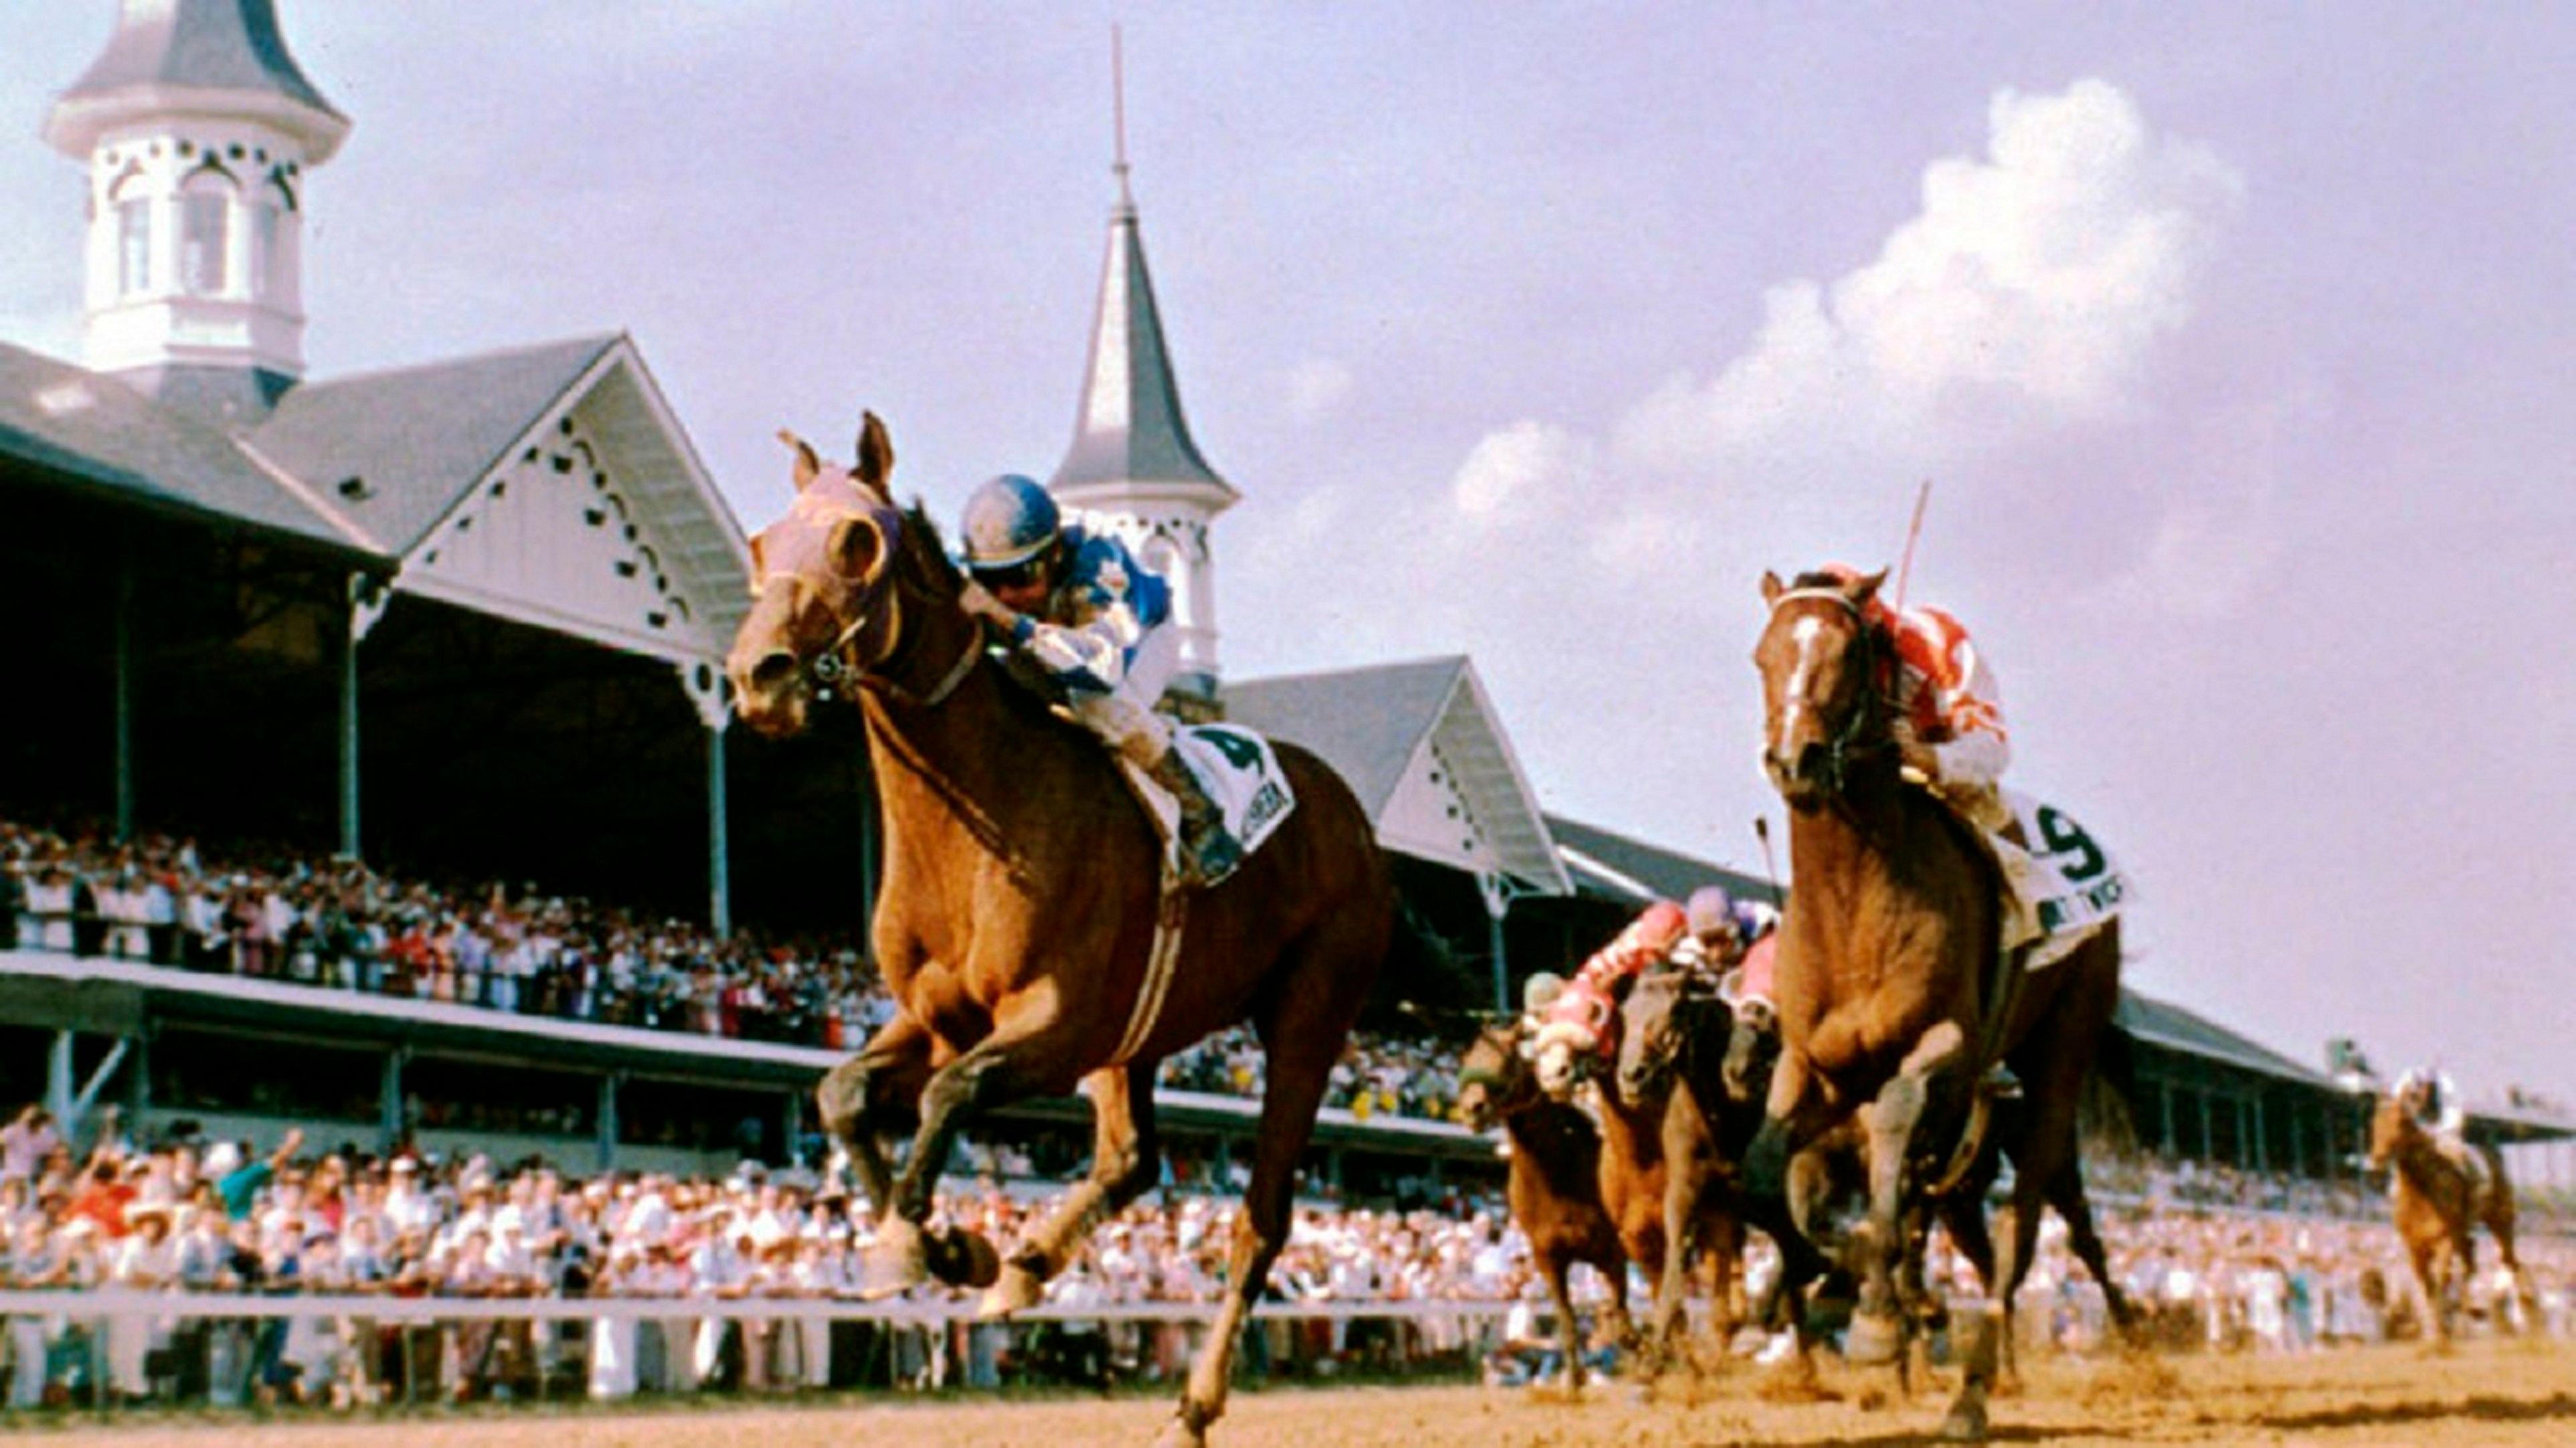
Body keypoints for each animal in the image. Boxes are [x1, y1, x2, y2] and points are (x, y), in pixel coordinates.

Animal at [726, 412, 1411, 1432]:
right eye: (766, 544)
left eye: (857, 542)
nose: (757, 676)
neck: (976, 818)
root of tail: (1354, 823)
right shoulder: (940, 1016)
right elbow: (843, 1093)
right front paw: (949, 1246)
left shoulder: (1057, 1022)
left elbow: (948, 1095)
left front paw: (916, 1244)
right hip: (1143, 1033)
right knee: (1131, 1158)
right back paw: (1027, 1266)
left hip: (1310, 1011)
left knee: (1261, 1215)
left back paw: (1194, 1405)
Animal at [1463, 1015, 1638, 1391]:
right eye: (1469, 1057)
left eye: (1507, 1058)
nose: (1472, 1108)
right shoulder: (1549, 1258)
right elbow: (1568, 1323)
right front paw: (1573, 1382)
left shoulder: (1611, 1254)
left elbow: (1621, 1318)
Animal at [1752, 564, 2132, 1432]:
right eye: (1764, 654)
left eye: (1847, 653)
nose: (1795, 762)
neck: (1854, 905)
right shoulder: (1811, 1071)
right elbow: (1769, 1178)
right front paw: (1833, 1283)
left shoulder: (1944, 1049)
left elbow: (1894, 1128)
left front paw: (1872, 1323)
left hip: (2060, 1059)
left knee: (2023, 1231)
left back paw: (1982, 1388)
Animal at [2359, 1077, 2545, 1340]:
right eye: (2375, 1123)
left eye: (2402, 1122)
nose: (2375, 1168)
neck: (2423, 1194)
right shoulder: (2415, 1248)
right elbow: (2430, 1287)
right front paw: (2444, 1326)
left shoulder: (2445, 1240)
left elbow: (2441, 1282)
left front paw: (2444, 1328)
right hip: (2467, 1236)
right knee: (2471, 1265)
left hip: (2501, 1223)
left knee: (2510, 1263)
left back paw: (2525, 1311)